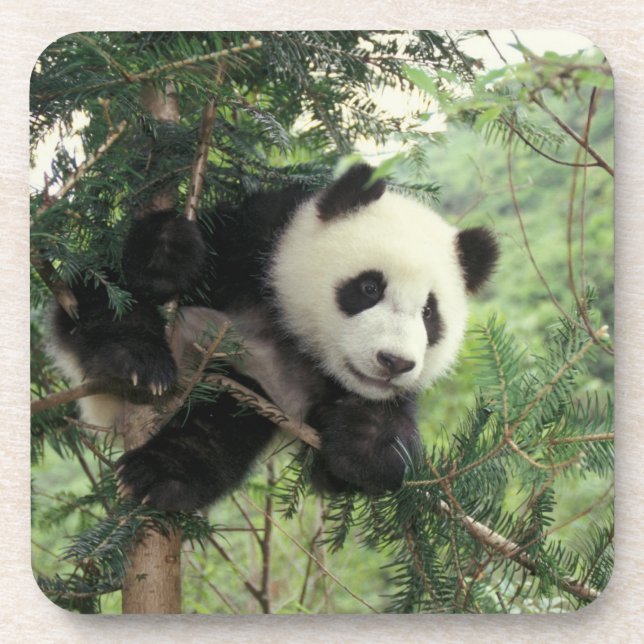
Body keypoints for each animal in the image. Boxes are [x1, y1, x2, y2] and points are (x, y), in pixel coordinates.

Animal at [49, 163, 498, 511]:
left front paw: (366, 439)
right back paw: (135, 364)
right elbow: (128, 276)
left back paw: (161, 475)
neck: (290, 332)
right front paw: (169, 253)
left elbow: (351, 467)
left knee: (223, 420)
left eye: (429, 314)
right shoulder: (255, 241)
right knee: (99, 296)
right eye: (369, 288)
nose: (394, 362)